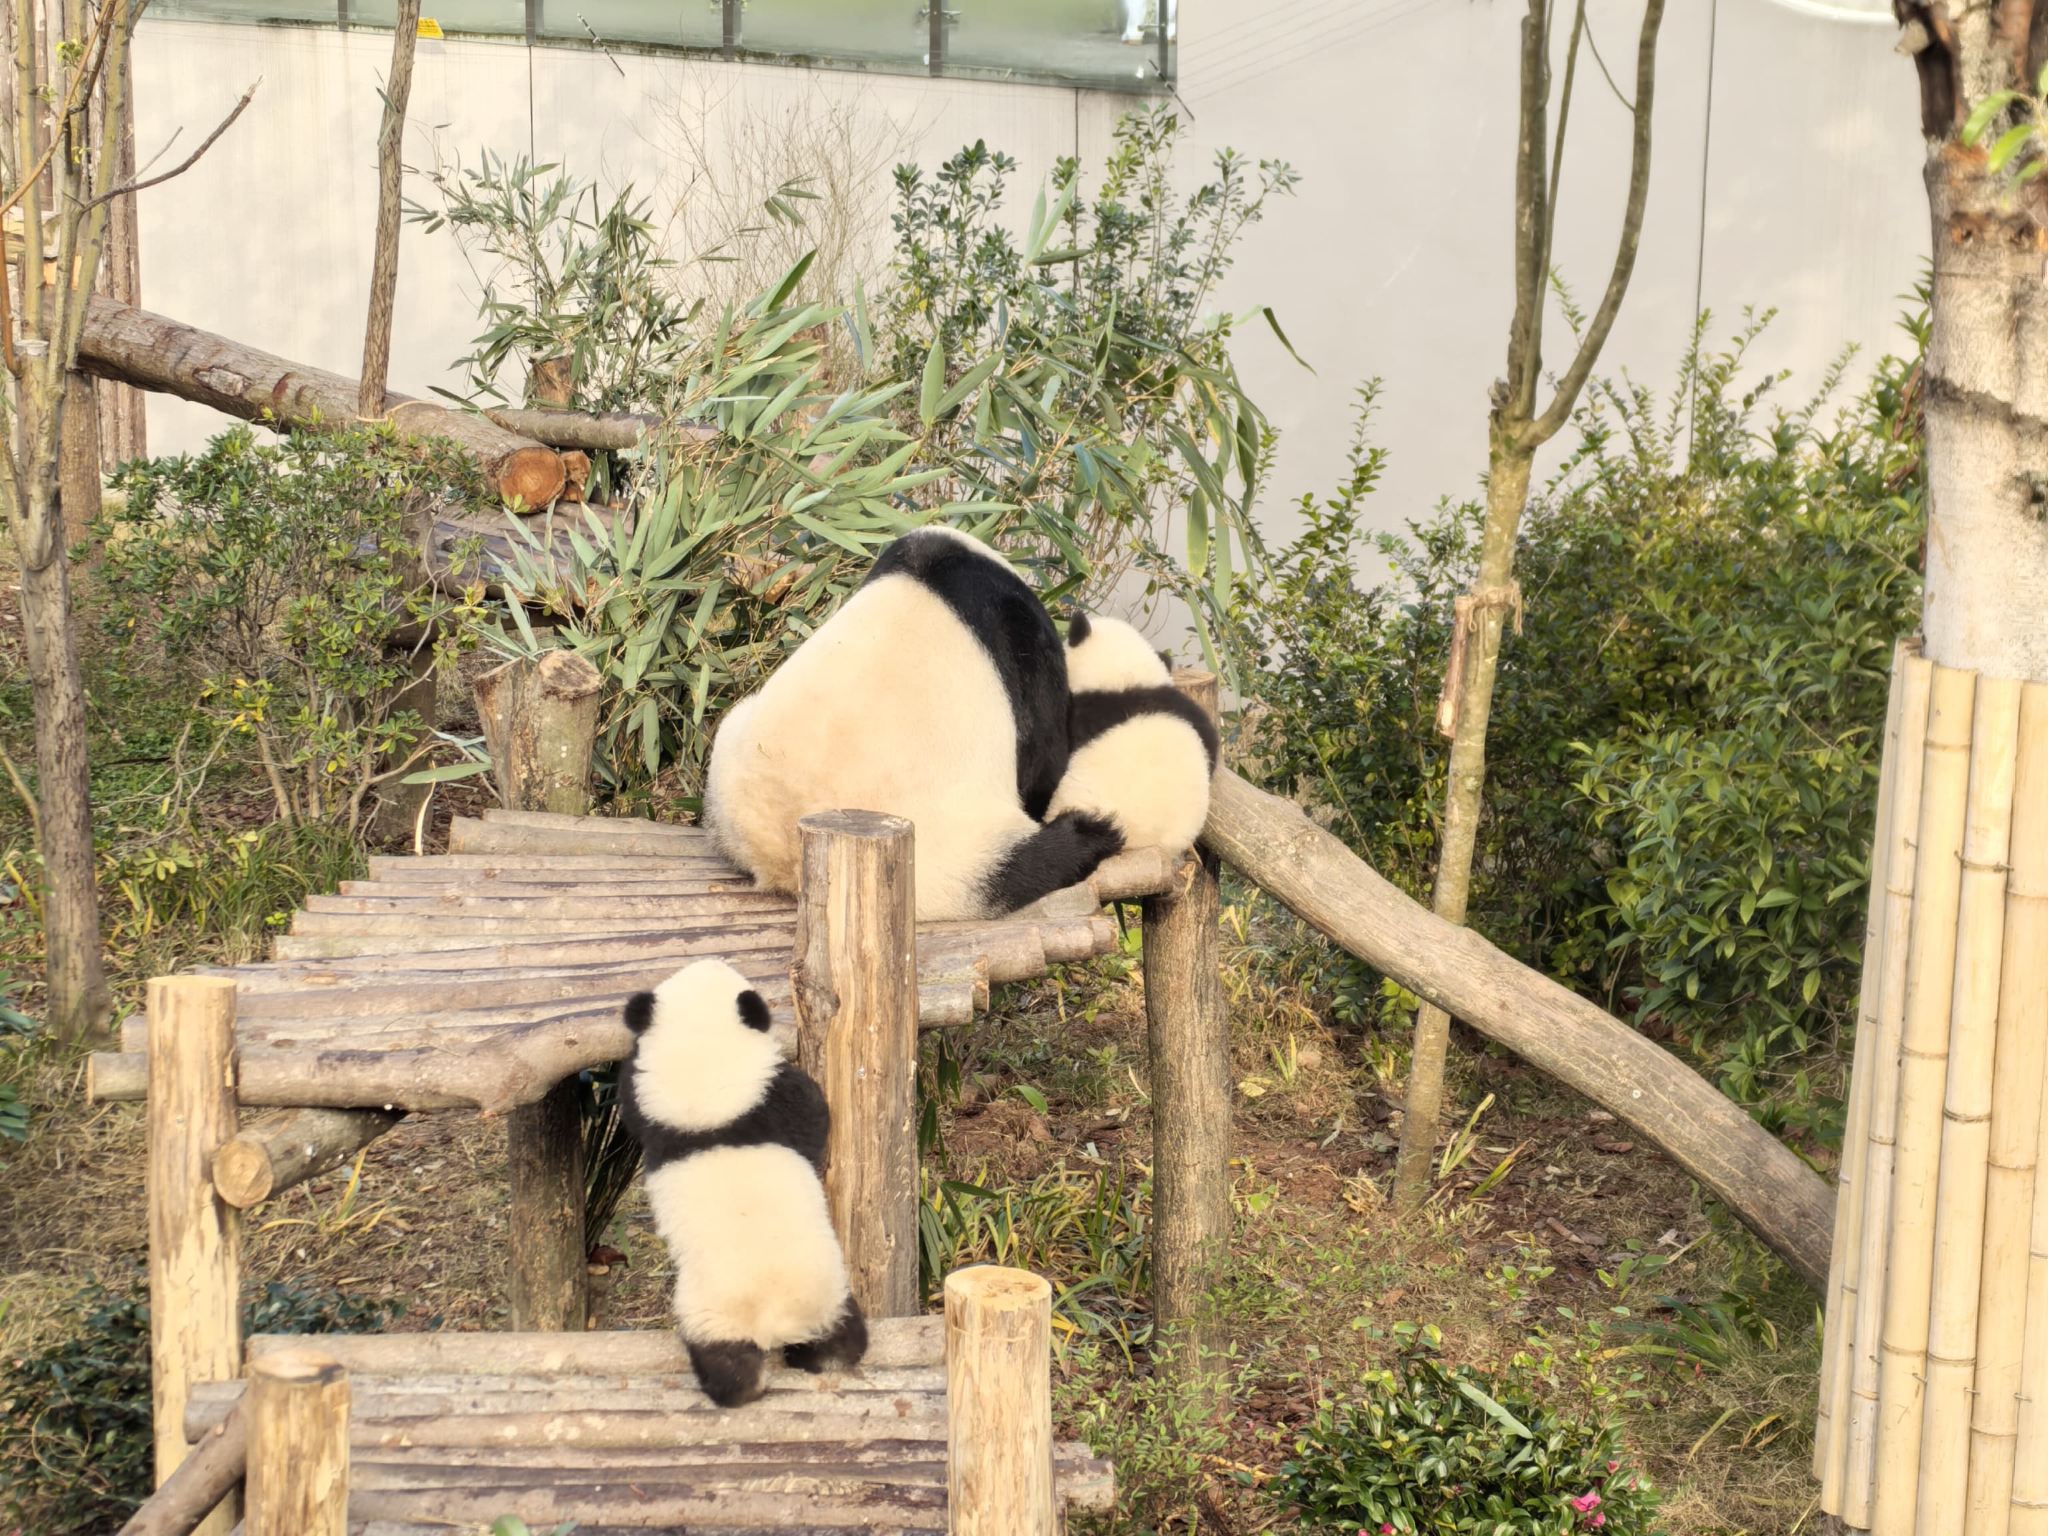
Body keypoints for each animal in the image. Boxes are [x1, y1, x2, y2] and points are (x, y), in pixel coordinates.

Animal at [618, 958, 867, 1408]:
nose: (712, 960)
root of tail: (770, 1323)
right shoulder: (770, 1100)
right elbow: (812, 1114)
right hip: (756, 1303)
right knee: (832, 1344)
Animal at [703, 526, 1123, 920]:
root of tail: (787, 861)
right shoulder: (1014, 627)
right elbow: (1044, 748)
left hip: (729, 754)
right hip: (946, 848)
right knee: (1016, 868)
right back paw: (1090, 836)